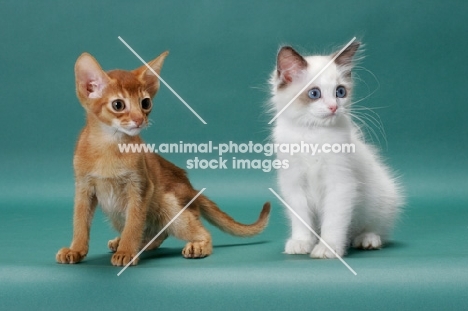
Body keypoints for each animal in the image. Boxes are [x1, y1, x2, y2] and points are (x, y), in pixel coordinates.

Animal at [56, 52, 270, 266]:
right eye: (118, 105)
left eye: (145, 103)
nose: (139, 120)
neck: (108, 146)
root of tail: (192, 189)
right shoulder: (83, 188)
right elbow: (80, 221)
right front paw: (76, 249)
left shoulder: (141, 187)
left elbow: (134, 224)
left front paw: (126, 252)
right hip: (115, 211)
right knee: (155, 233)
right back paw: (129, 243)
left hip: (169, 203)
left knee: (194, 231)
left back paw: (196, 246)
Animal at [270, 42, 402, 260]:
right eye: (314, 94)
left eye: (340, 92)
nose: (334, 107)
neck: (312, 135)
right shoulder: (294, 184)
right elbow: (301, 218)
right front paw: (301, 242)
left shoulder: (340, 184)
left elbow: (333, 221)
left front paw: (327, 248)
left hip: (382, 200)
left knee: (375, 229)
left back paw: (367, 240)